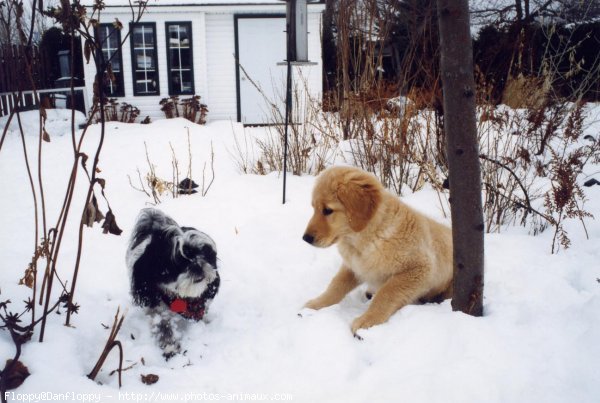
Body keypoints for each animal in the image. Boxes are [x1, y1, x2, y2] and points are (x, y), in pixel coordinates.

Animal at [125, 210, 219, 358]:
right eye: (177, 264)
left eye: (202, 254)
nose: (197, 266)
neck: (183, 298)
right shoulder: (156, 307)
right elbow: (163, 326)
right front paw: (170, 347)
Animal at [302, 166, 452, 334]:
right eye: (314, 208)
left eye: (327, 210)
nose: (305, 238)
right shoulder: (354, 266)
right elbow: (336, 285)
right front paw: (317, 304)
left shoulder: (418, 268)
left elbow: (386, 293)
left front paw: (368, 320)